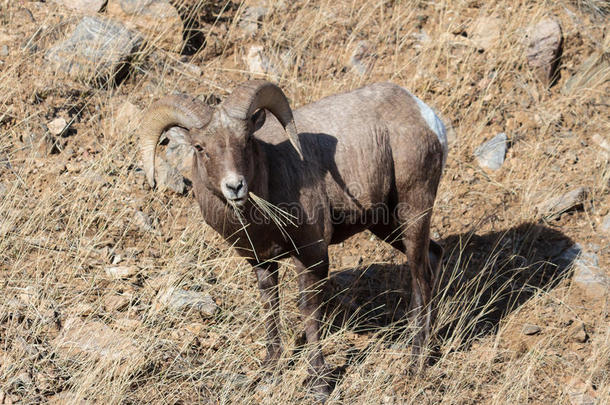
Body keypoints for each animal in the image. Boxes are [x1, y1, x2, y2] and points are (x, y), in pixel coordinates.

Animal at [141, 79, 446, 394]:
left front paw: (319, 382)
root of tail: (425, 114)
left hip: (413, 212)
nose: (235, 186)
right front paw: (269, 368)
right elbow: (270, 307)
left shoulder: (311, 255)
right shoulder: (262, 262)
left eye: (247, 140)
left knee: (420, 277)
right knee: (433, 256)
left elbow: (308, 310)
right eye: (200, 147)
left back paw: (415, 364)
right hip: (386, 224)